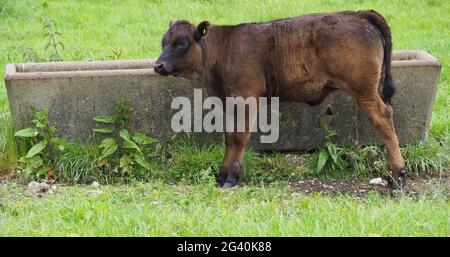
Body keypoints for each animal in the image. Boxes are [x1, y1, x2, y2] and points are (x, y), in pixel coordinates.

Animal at [156, 10, 408, 187]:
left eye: (181, 42)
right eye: (163, 42)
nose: (158, 65)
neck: (224, 49)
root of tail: (357, 14)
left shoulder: (246, 98)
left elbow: (238, 138)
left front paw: (231, 178)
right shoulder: (229, 102)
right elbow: (229, 137)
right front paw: (222, 175)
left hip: (364, 90)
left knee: (383, 118)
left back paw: (398, 173)